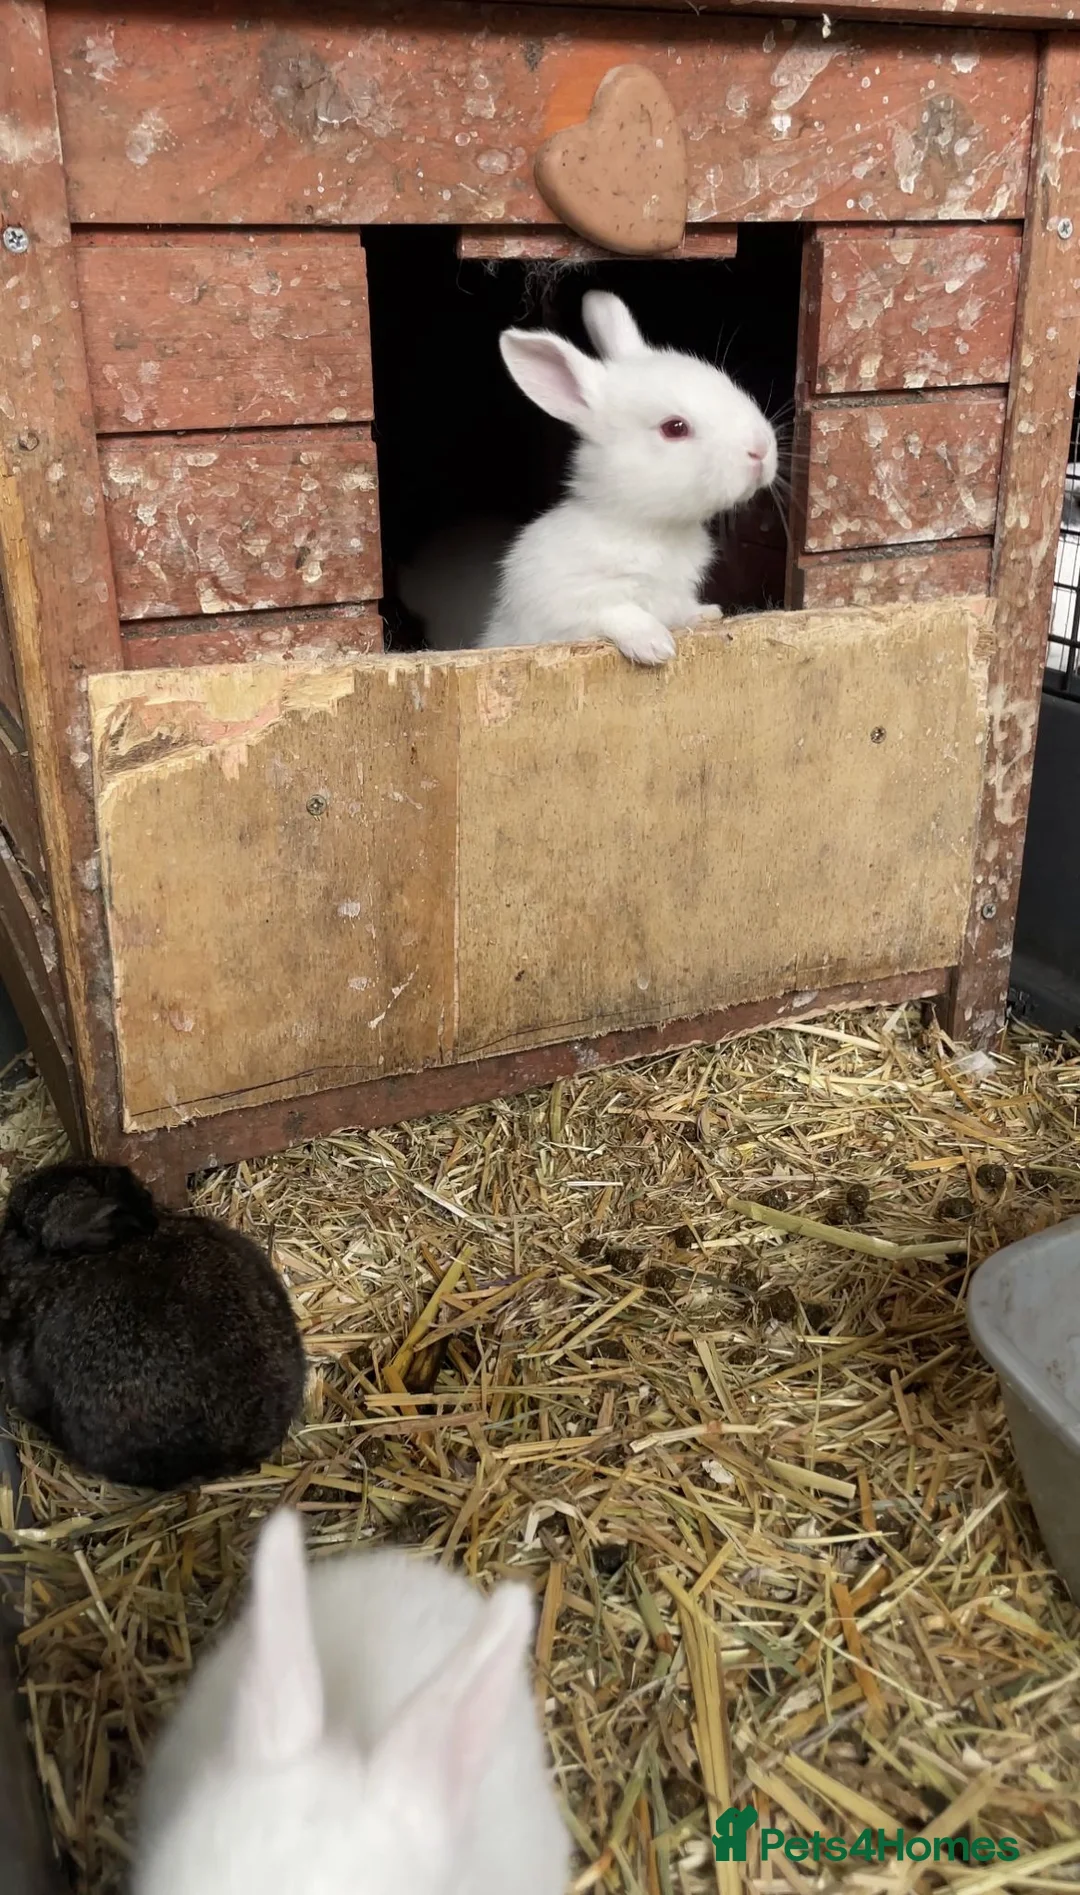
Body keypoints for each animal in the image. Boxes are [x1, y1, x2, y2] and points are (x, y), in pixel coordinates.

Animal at [402, 292, 777, 667]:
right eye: (675, 428)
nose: (761, 449)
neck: (649, 528)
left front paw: (706, 614)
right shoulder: (562, 603)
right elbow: (613, 612)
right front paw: (654, 644)